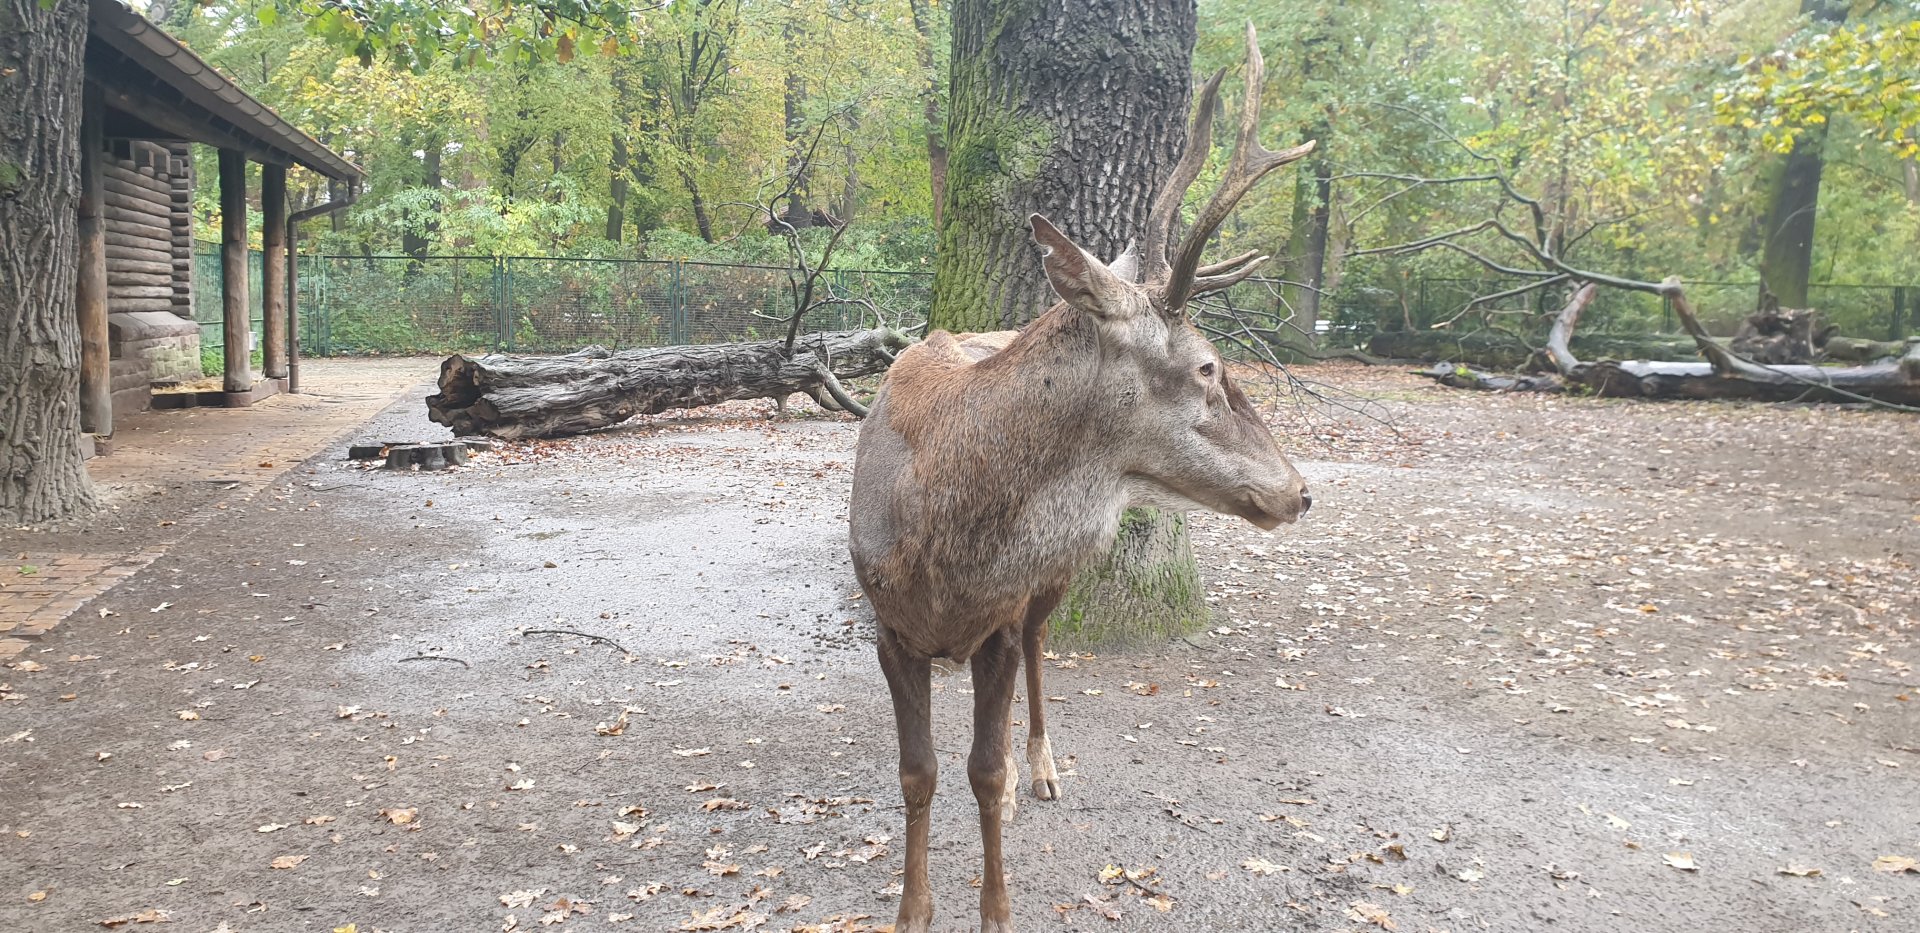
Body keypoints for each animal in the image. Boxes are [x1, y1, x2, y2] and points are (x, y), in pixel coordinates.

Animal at [847, 25, 1314, 933]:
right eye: (1209, 366)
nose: (1300, 488)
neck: (943, 542)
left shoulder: (998, 616)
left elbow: (982, 768)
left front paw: (995, 907)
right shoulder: (887, 625)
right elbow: (918, 771)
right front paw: (912, 909)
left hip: (1056, 575)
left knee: (1038, 649)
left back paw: (1044, 768)